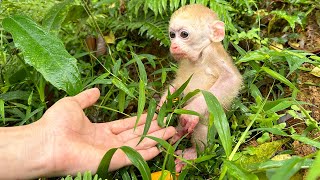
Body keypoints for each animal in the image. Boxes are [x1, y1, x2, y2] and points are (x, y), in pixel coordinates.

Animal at [160, 4, 242, 172]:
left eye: (184, 34)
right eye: (172, 35)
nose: (174, 45)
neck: (197, 58)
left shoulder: (212, 53)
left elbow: (230, 79)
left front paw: (191, 113)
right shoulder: (183, 62)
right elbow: (178, 84)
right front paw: (162, 104)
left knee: (202, 123)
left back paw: (194, 154)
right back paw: (179, 133)